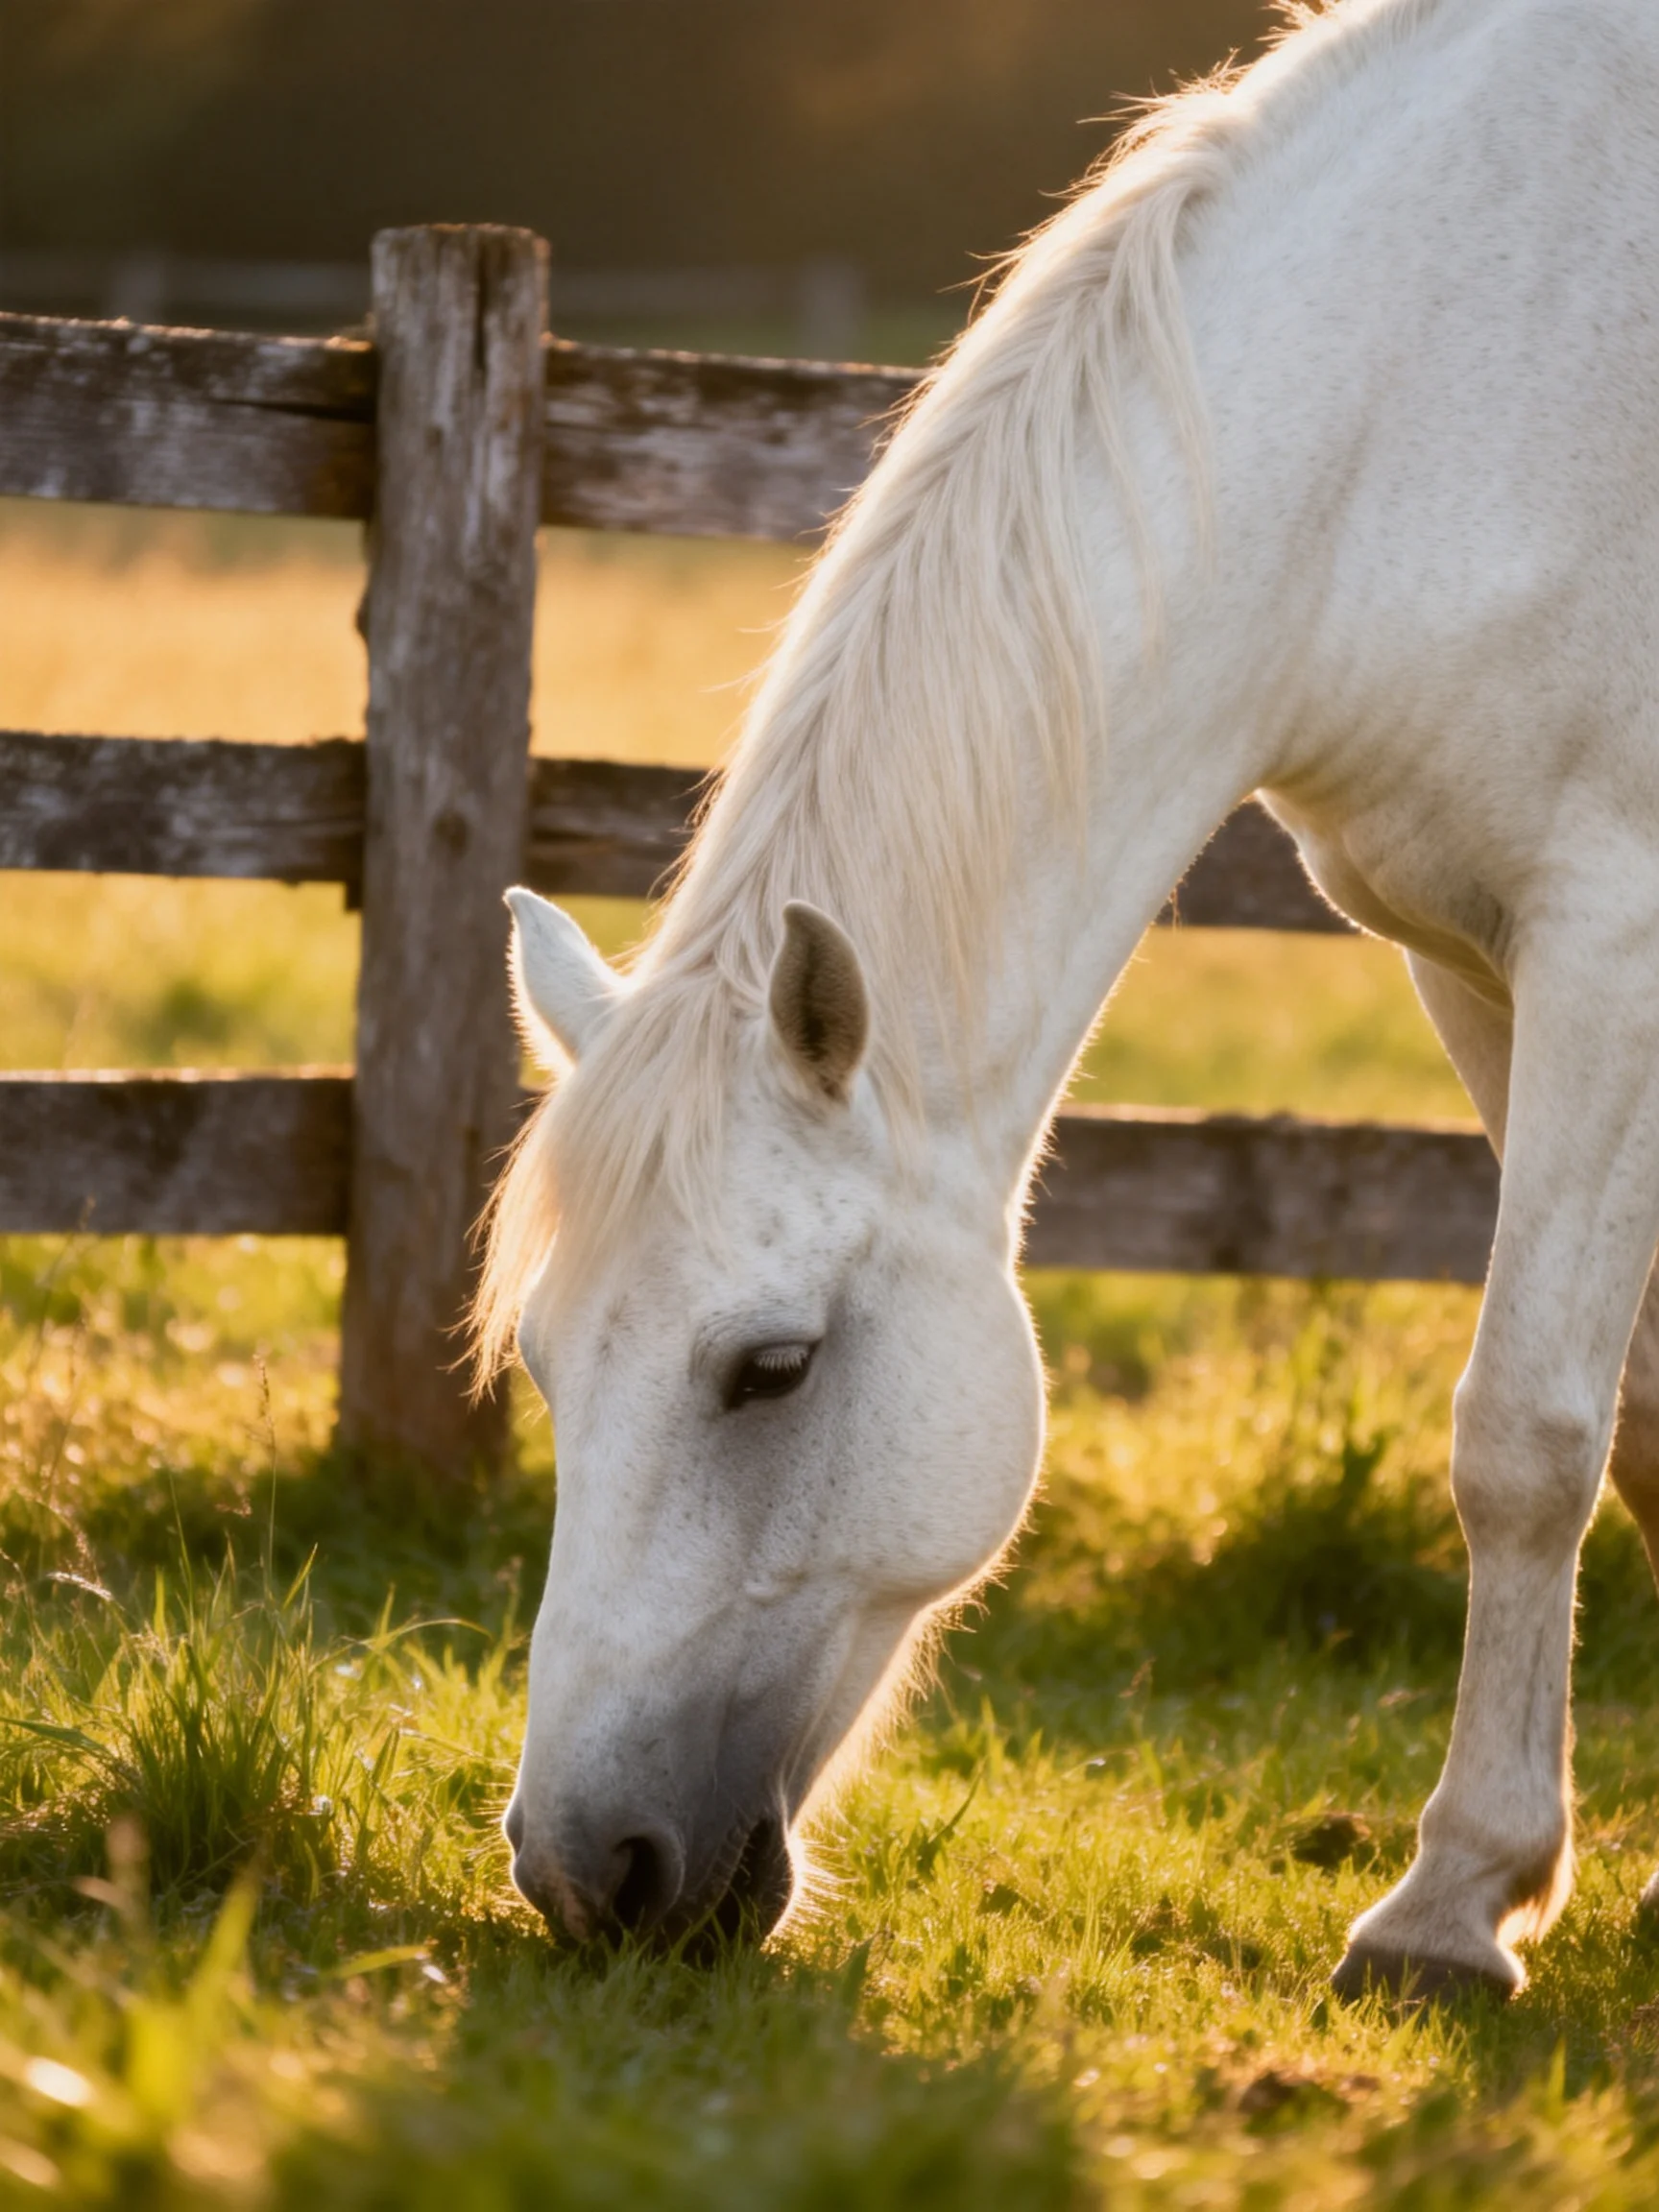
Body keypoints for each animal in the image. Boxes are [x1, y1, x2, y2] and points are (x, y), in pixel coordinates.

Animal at [481, 0, 1659, 1997]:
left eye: (769, 1366)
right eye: (553, 1362)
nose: (586, 1871)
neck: (1428, 376)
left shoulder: (1610, 941)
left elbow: (1522, 1431)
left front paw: (1446, 1909)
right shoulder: (1473, 958)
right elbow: (1628, 1413)